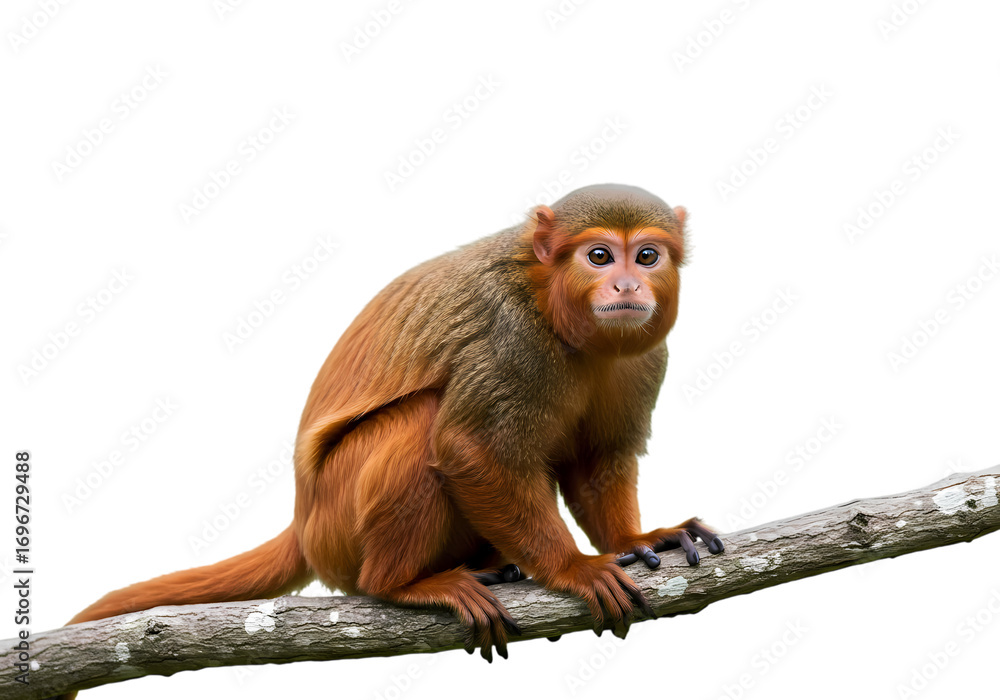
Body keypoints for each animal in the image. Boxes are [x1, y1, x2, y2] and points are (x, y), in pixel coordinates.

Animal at [57, 184, 722, 697]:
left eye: (647, 256)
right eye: (600, 255)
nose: (627, 287)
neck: (558, 311)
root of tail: (304, 519)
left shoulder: (647, 358)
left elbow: (597, 461)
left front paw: (636, 540)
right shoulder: (511, 339)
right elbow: (468, 449)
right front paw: (572, 568)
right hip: (338, 520)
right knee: (424, 420)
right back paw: (401, 585)